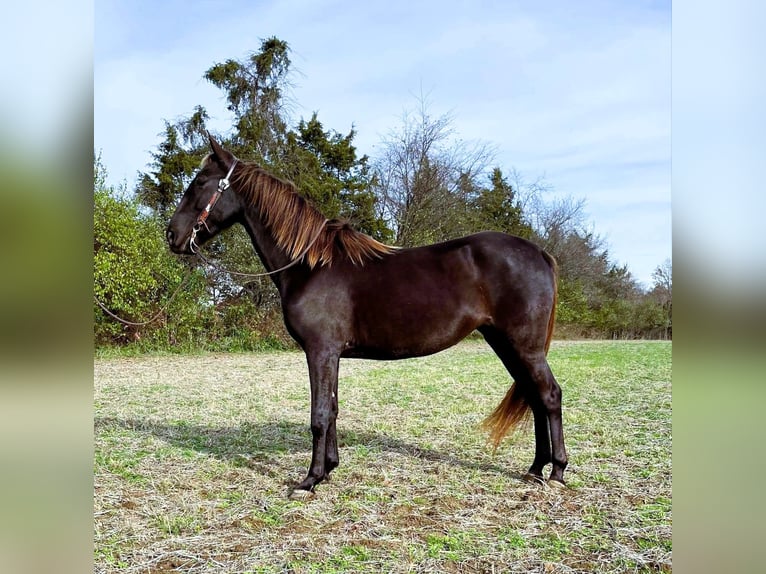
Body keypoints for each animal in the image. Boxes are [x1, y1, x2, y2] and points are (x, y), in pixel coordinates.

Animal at [168, 134, 568, 496]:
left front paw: (309, 481)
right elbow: (332, 409)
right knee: (534, 397)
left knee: (549, 395)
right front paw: (329, 469)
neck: (311, 265)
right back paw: (535, 469)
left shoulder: (320, 351)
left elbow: (319, 415)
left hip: (524, 346)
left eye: (200, 182)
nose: (172, 235)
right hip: (505, 343)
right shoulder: (332, 354)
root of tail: (539, 252)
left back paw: (556, 472)